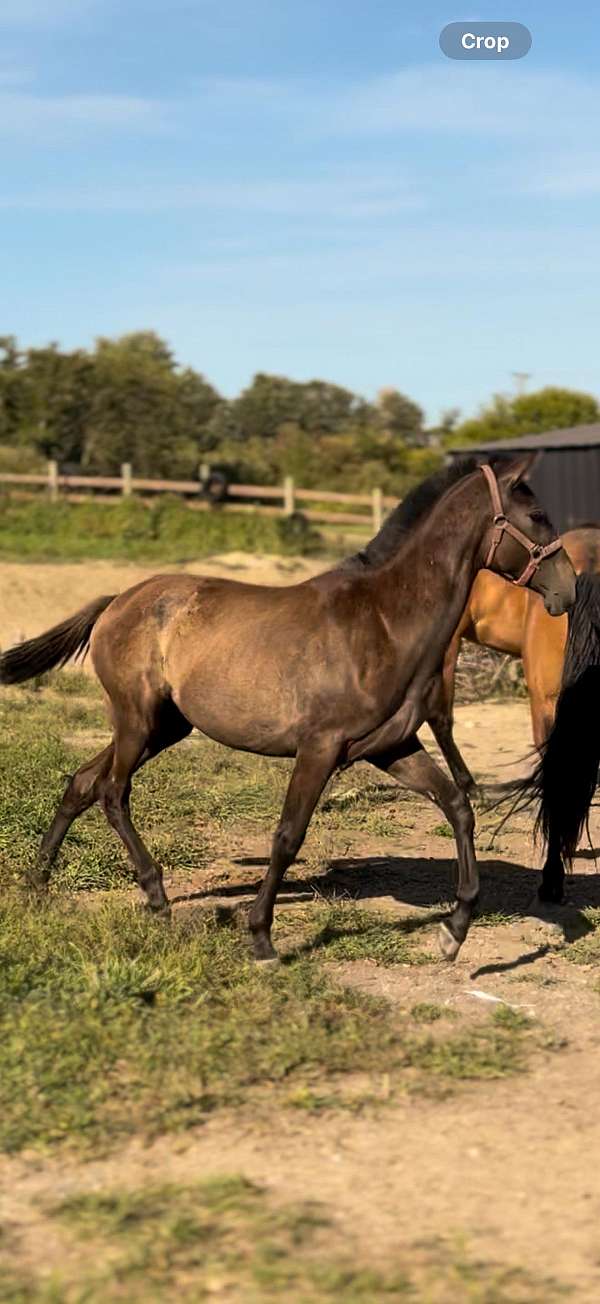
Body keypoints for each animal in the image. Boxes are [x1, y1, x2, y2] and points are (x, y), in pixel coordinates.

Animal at [0, 454, 575, 963]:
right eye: (538, 515)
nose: (568, 590)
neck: (384, 621)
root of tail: (118, 601)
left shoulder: (391, 747)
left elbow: (458, 806)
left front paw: (453, 933)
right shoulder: (319, 749)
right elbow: (287, 836)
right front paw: (261, 940)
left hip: (161, 727)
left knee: (82, 783)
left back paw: (38, 883)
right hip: (137, 722)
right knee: (113, 793)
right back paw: (156, 896)